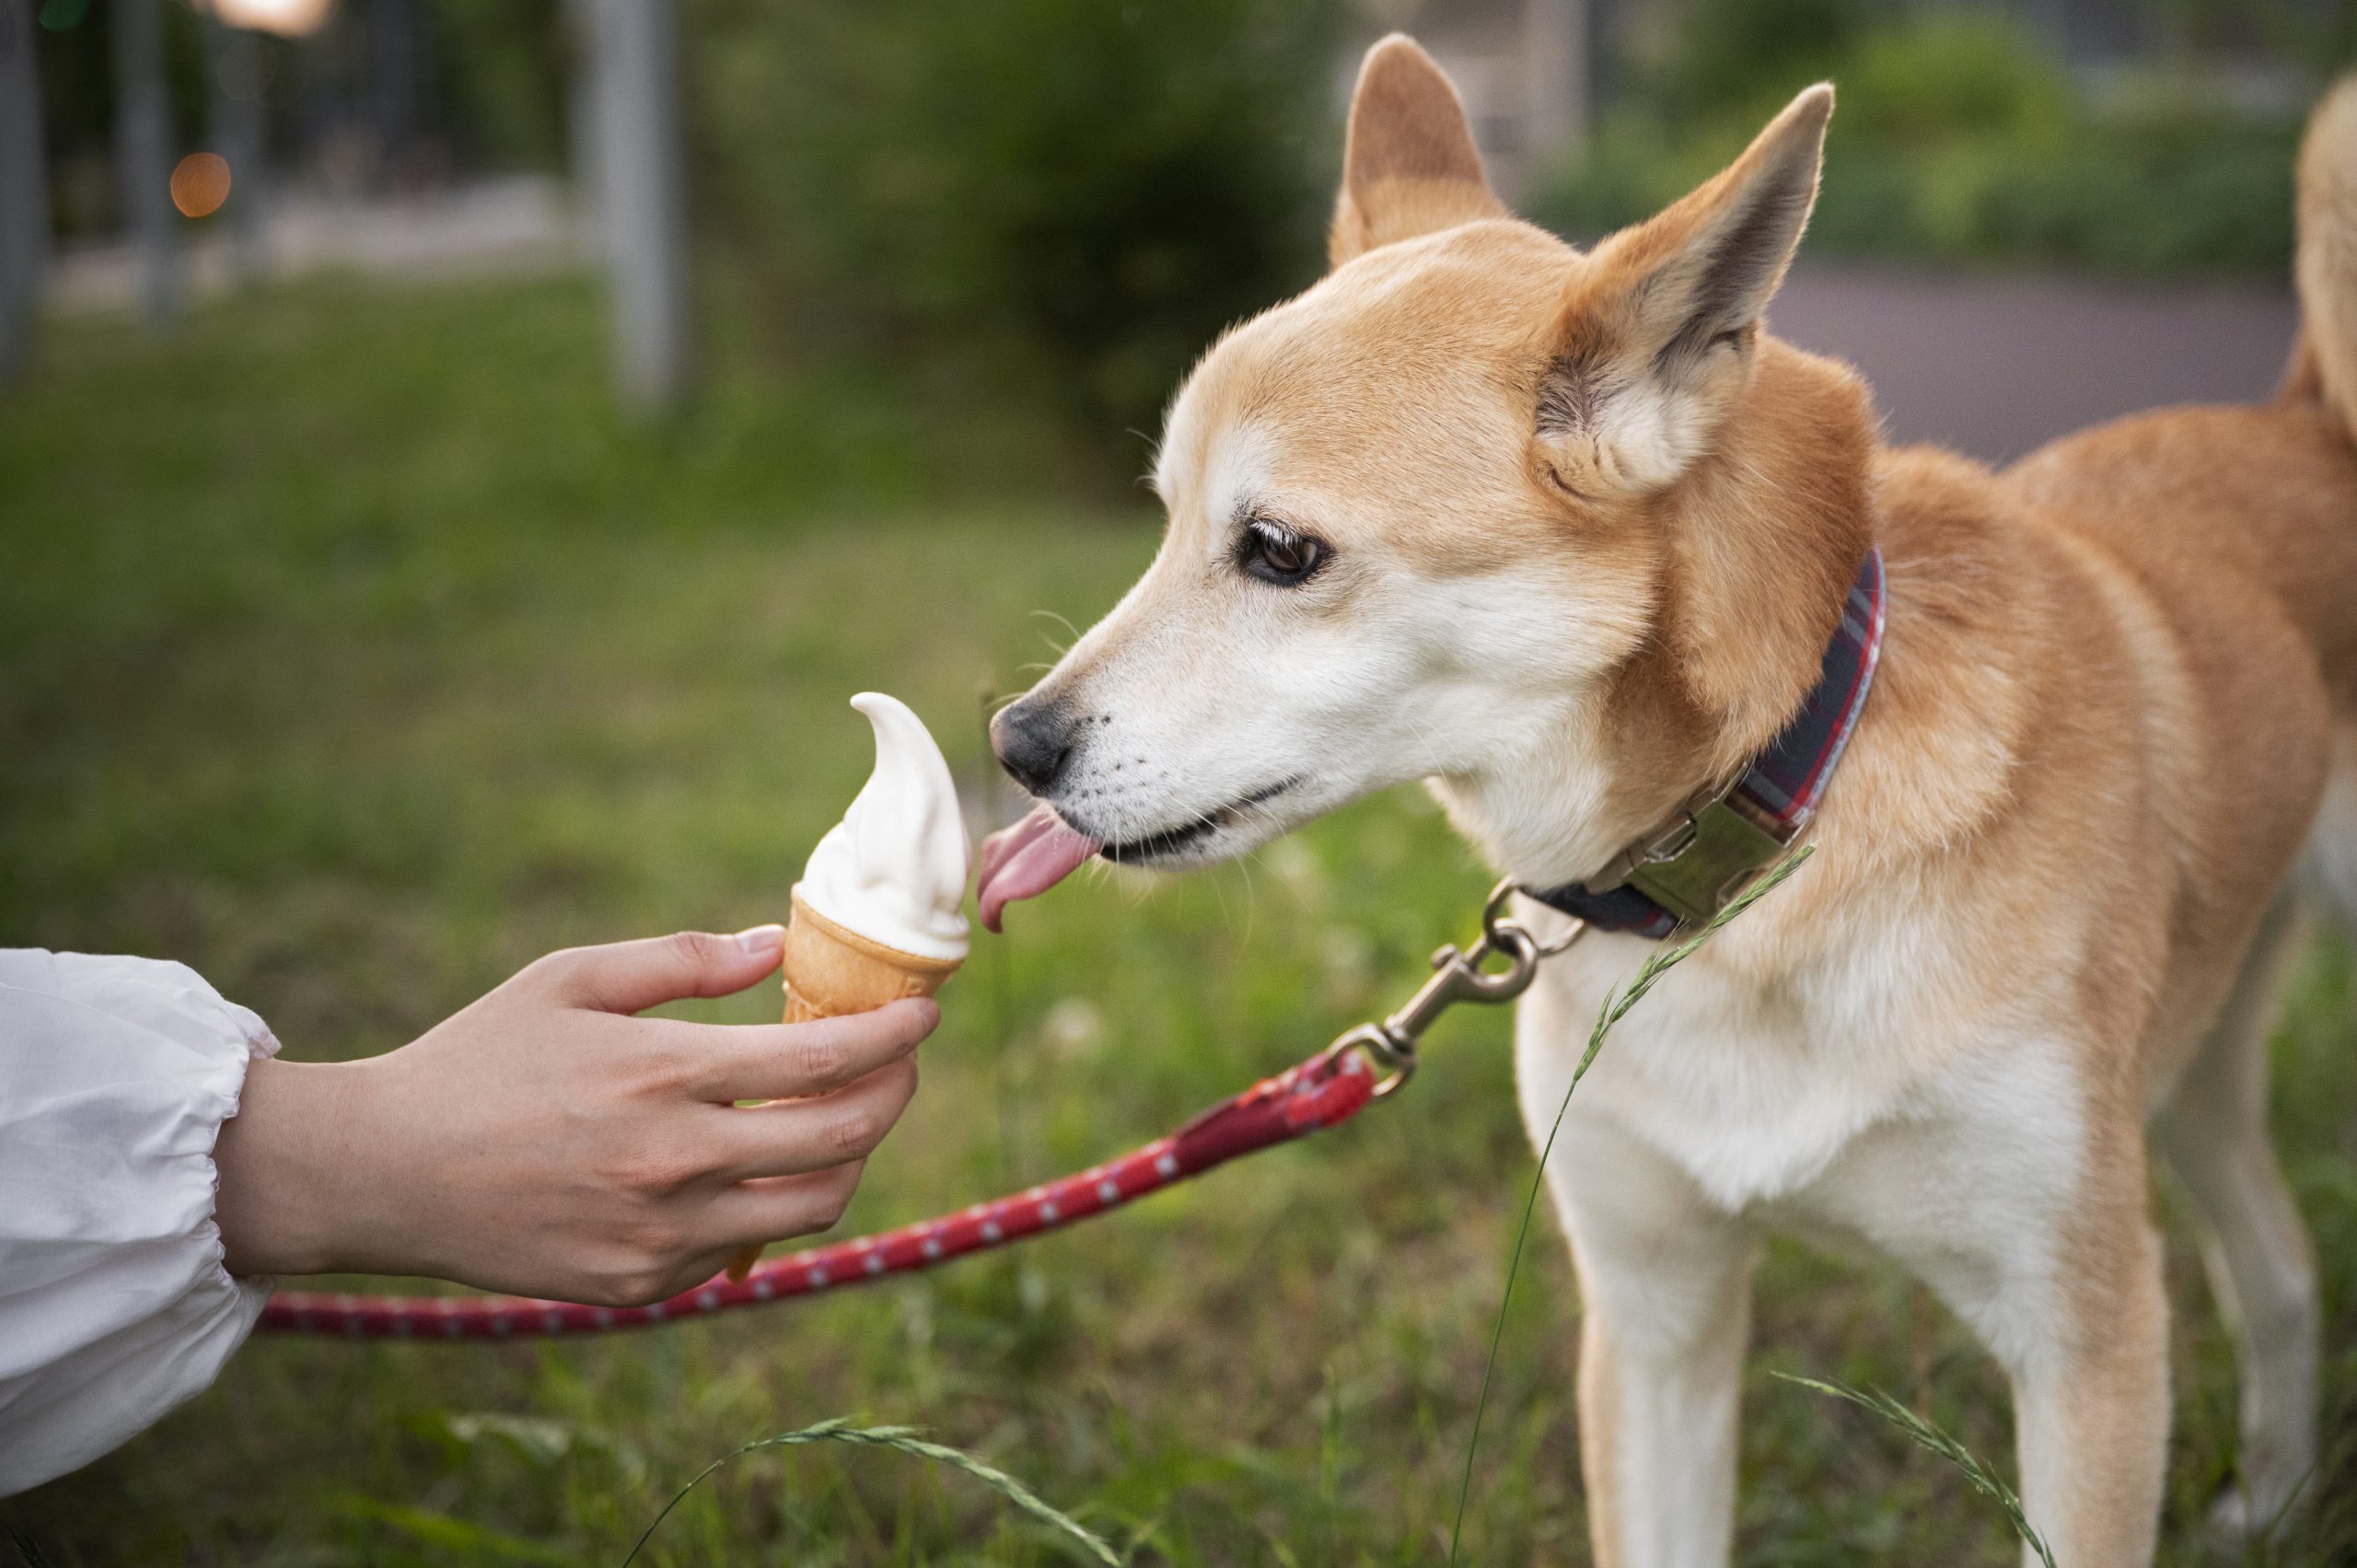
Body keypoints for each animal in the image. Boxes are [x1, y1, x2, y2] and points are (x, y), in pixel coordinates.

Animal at [970, 40, 2357, 1565]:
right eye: (1164, 520)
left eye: (1277, 549)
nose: (1015, 742)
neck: (1770, 827)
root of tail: (2304, 418)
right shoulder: (1653, 1321)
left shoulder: (2084, 1339)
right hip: (2196, 1067)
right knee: (2282, 1266)